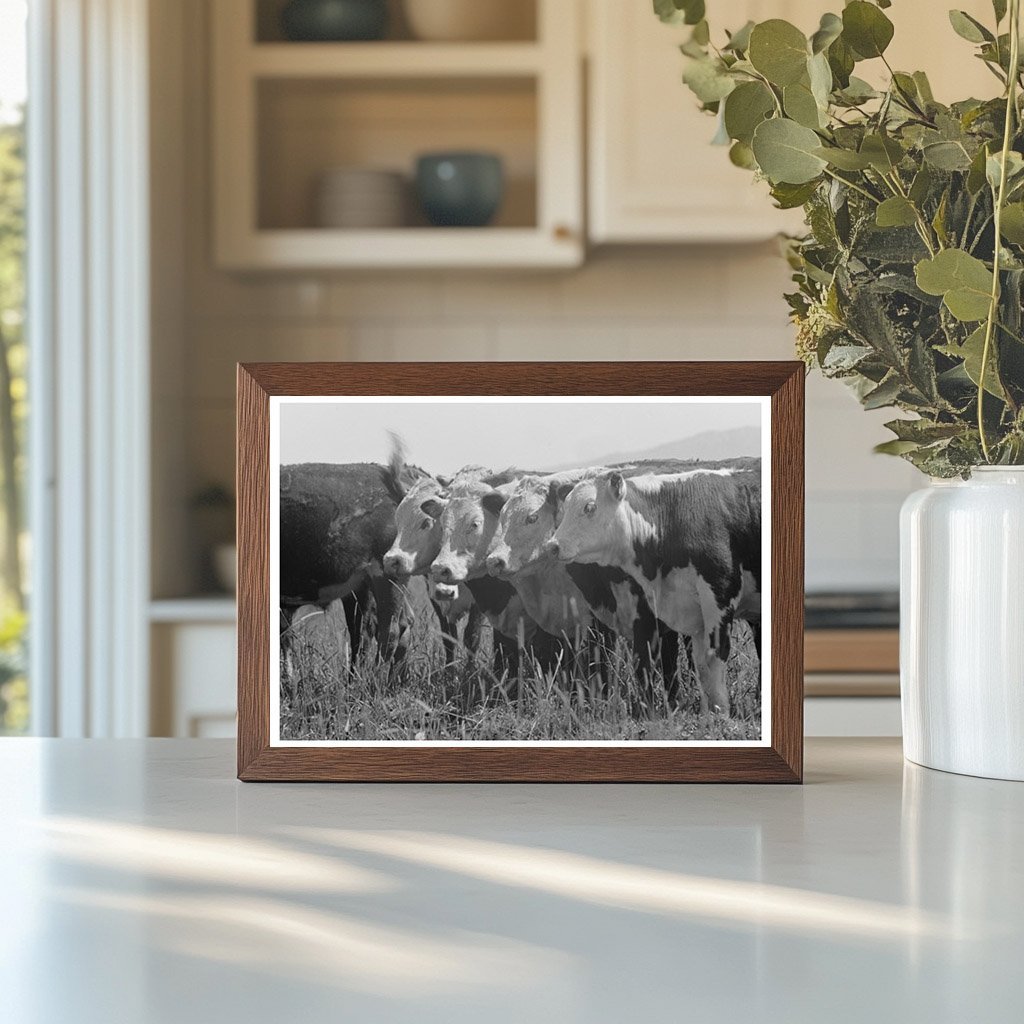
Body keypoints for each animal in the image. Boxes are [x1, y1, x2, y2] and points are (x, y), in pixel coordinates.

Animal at [552, 468, 761, 716]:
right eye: (564, 510)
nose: (553, 545)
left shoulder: (719, 595)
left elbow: (712, 656)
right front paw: (705, 713)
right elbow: (699, 664)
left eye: (589, 507)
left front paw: (721, 713)